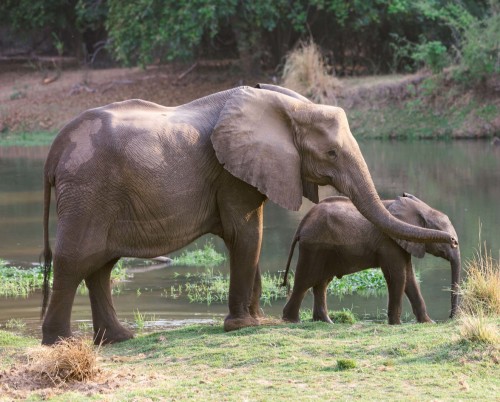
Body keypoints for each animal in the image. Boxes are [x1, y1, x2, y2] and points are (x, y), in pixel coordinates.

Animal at [282, 193, 460, 326]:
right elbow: (398, 276)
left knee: (322, 282)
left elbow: (410, 278)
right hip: (314, 246)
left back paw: (326, 322)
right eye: (446, 240)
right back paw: (292, 320)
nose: (450, 318)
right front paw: (396, 324)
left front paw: (428, 323)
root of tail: (303, 222)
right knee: (305, 281)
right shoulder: (389, 242)